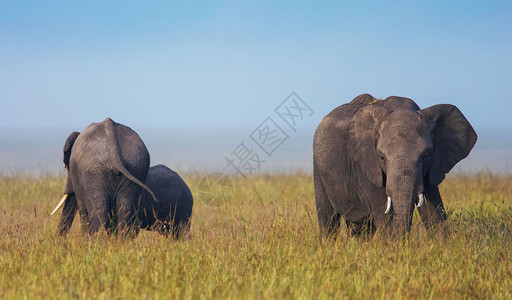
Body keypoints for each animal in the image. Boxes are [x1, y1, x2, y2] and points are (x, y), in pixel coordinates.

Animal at [314, 94, 478, 237]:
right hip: (318, 166)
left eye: (426, 155)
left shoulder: (432, 166)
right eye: (381, 157)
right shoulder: (367, 165)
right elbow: (384, 215)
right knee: (328, 219)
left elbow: (434, 211)